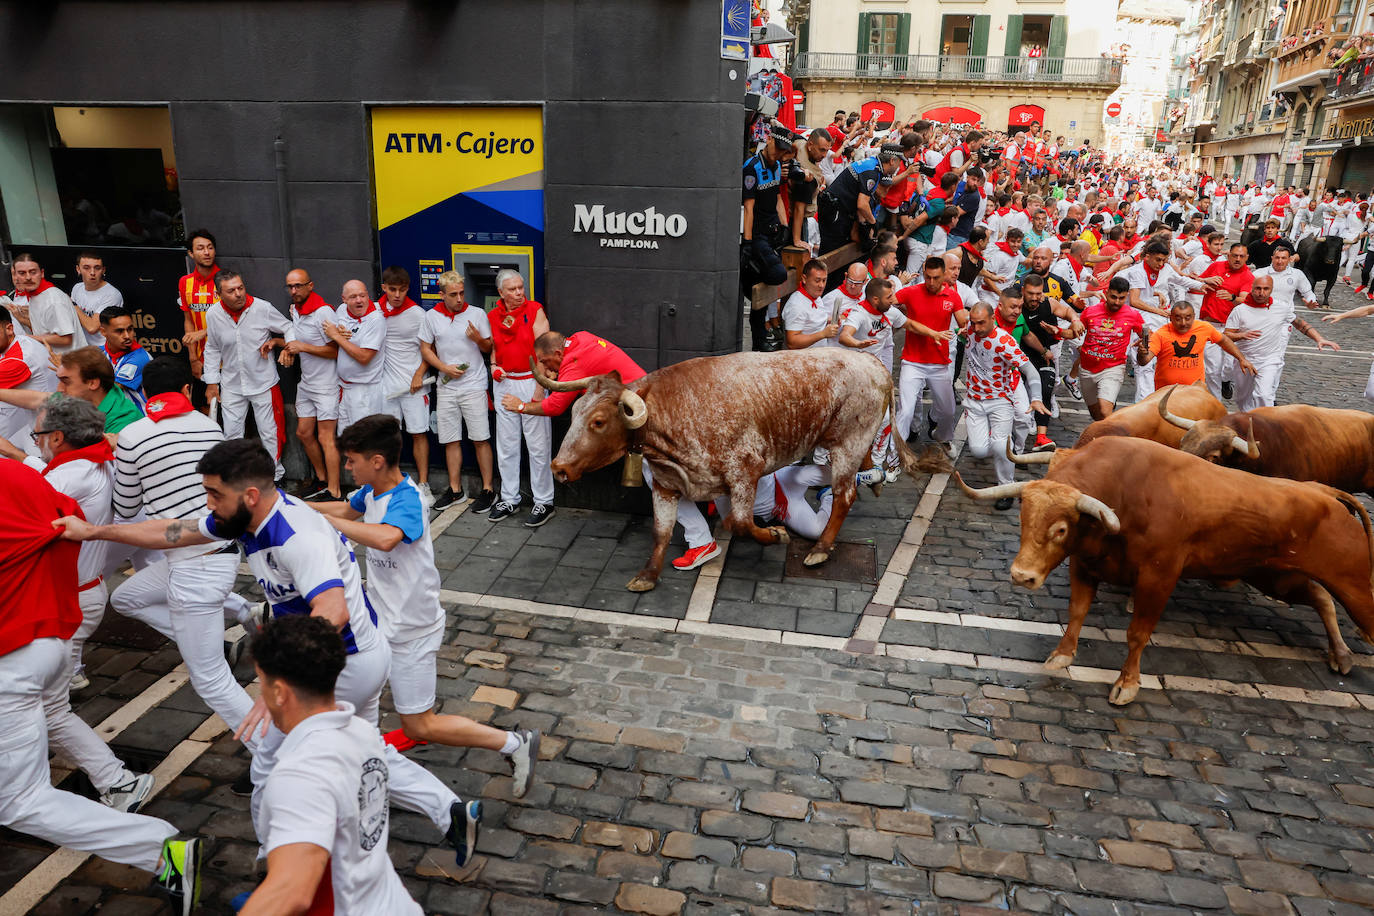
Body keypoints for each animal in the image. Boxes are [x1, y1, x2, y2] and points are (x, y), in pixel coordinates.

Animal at [538, 347, 912, 590]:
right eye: (575, 413)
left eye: (599, 421)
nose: (558, 466)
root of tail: (873, 363)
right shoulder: (665, 483)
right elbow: (661, 532)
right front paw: (648, 575)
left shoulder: (745, 471)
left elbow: (739, 522)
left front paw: (775, 535)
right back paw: (874, 478)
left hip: (847, 443)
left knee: (843, 495)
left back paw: (820, 549)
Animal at [956, 436, 1374, 703]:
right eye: (1023, 518)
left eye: (1060, 529)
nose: (1021, 575)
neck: (1126, 489)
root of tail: (1321, 490)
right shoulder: (1085, 564)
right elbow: (1076, 612)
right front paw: (1061, 655)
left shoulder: (1159, 577)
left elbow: (1137, 633)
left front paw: (1127, 683)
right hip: (1275, 577)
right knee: (1320, 596)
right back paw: (1340, 654)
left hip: (1354, 586)